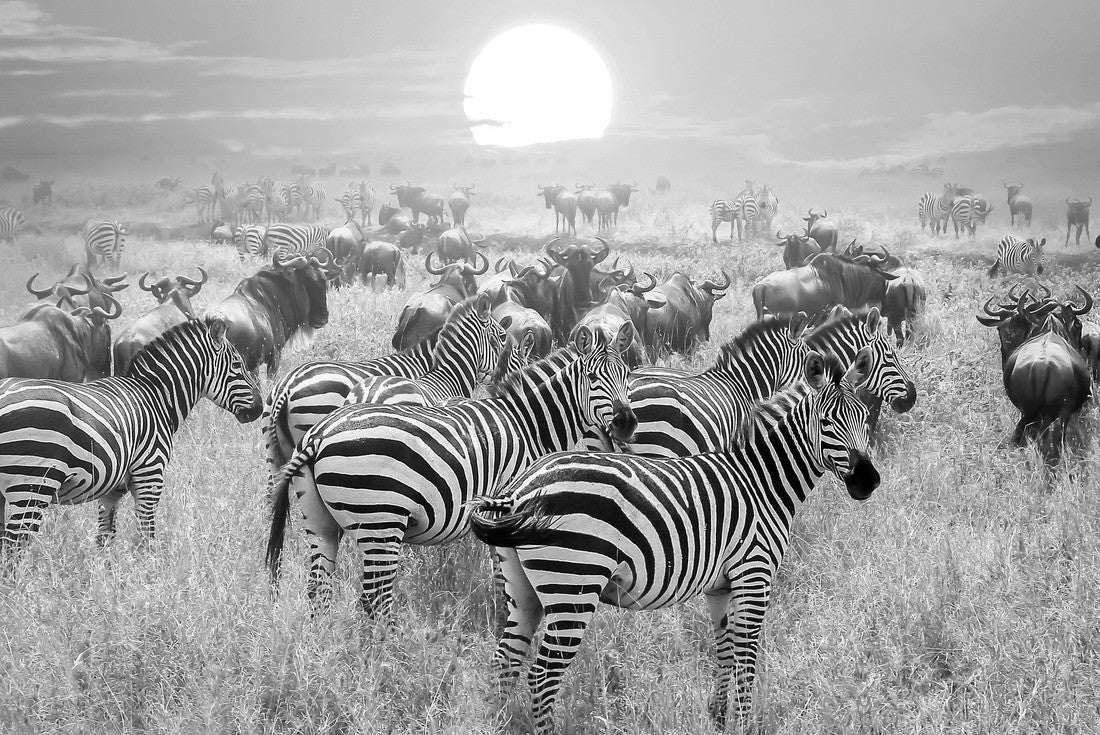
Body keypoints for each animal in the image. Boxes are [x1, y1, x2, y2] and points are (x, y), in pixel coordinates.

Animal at [0, 318, 261, 554]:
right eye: (237, 365)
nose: (259, 409)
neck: (156, 396)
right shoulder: (150, 474)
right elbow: (147, 536)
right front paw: (150, 571)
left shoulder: (112, 490)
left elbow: (105, 538)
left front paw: (107, 574)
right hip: (32, 485)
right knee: (14, 549)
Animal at [264, 323, 637, 617]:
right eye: (593, 378)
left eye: (627, 376)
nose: (627, 423)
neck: (527, 424)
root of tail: (319, 435)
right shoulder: (506, 509)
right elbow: (502, 577)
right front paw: (500, 616)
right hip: (381, 520)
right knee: (374, 600)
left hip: (320, 521)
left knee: (319, 589)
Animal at [469, 350, 878, 734]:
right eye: (826, 423)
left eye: (864, 417)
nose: (868, 481)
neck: (762, 482)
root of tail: (521, 488)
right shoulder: (754, 575)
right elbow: (746, 657)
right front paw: (745, 723)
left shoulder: (720, 586)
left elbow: (724, 650)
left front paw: (719, 718)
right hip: (574, 584)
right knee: (541, 675)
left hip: (523, 589)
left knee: (505, 662)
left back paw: (498, 723)